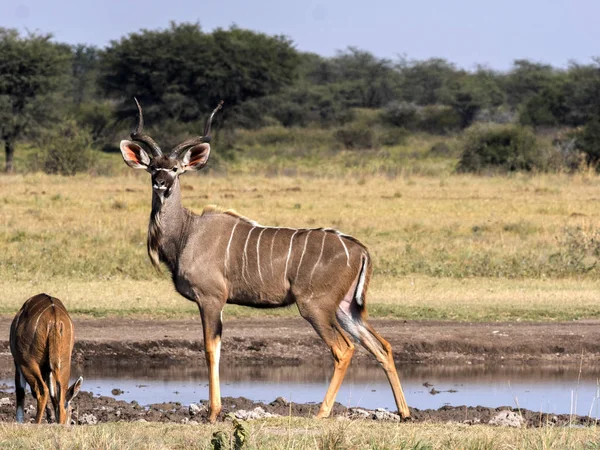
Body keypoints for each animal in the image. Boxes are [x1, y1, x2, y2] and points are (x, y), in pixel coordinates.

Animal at [9, 294, 82, 424]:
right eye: (72, 410)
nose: (71, 423)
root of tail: (55, 322)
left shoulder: (17, 362)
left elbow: (21, 394)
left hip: (27, 362)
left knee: (42, 391)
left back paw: (36, 423)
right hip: (63, 362)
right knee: (59, 396)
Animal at [119, 99, 410, 422]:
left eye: (175, 169)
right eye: (152, 168)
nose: (160, 183)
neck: (186, 233)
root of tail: (360, 250)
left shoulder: (211, 299)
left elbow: (210, 349)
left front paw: (213, 413)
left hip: (315, 307)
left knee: (344, 349)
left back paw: (322, 413)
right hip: (346, 309)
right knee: (382, 346)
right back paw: (405, 413)